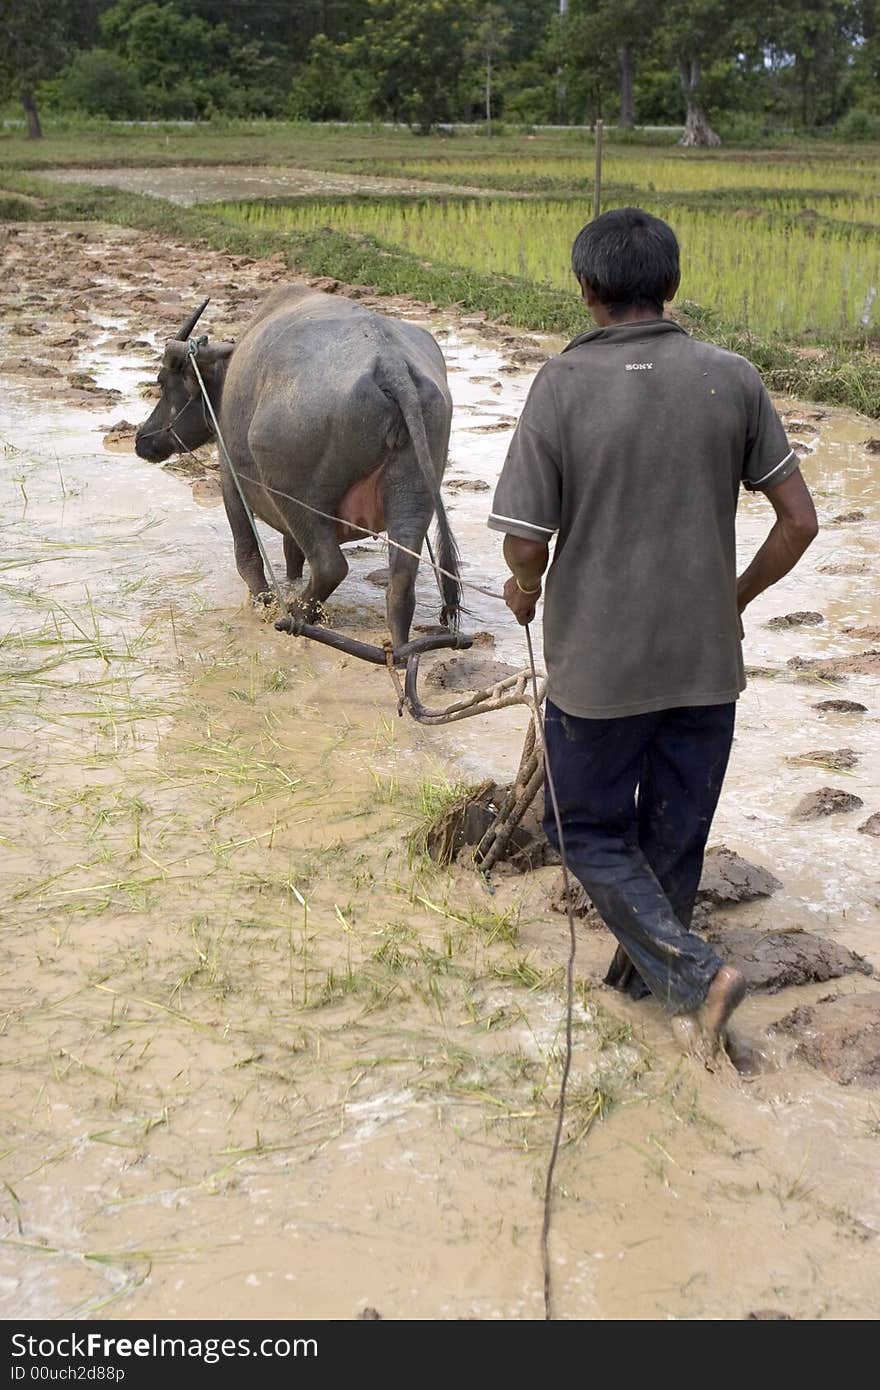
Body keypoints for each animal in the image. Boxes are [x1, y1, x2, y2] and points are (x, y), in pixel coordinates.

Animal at [135, 290, 458, 647]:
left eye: (163, 382)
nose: (142, 439)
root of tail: (391, 365)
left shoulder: (232, 481)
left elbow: (247, 555)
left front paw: (263, 603)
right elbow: (292, 553)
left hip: (296, 497)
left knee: (330, 566)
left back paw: (297, 617)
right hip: (413, 493)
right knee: (400, 580)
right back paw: (398, 648)